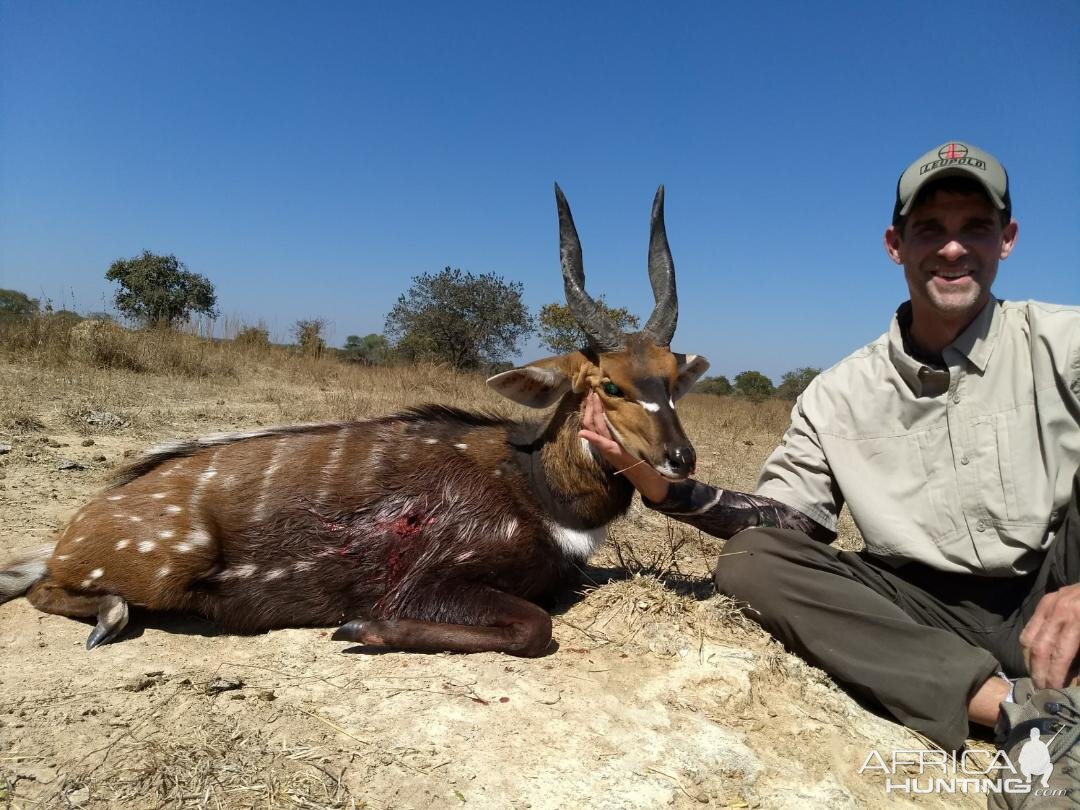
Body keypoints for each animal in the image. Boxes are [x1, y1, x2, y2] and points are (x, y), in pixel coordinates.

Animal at [2, 186, 708, 656]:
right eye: (610, 384)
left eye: (674, 380)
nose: (681, 460)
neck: (536, 487)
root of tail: (79, 524)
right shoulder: (434, 577)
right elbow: (536, 628)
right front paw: (360, 627)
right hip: (166, 562)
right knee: (49, 587)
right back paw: (108, 618)